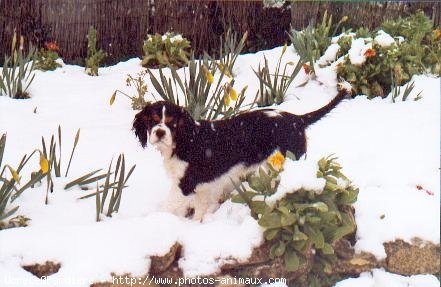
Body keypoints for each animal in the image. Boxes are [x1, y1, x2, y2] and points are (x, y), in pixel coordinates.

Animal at [132, 85, 348, 220]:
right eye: (152, 121)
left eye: (172, 123)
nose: (160, 132)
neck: (183, 142)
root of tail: (297, 118)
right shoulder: (203, 186)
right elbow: (200, 208)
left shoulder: (185, 183)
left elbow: (169, 206)